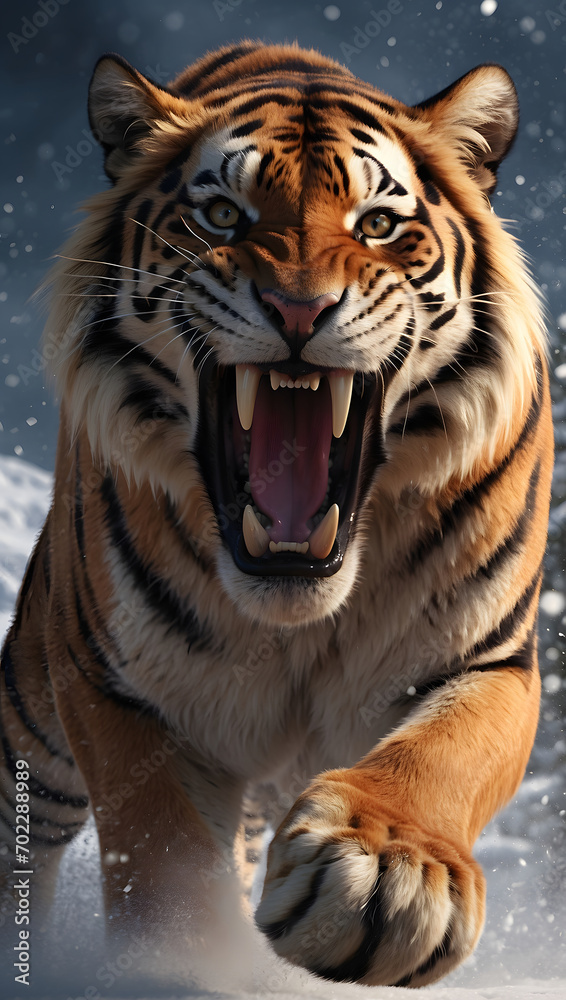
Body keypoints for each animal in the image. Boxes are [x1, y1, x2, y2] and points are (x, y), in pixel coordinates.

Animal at [0, 40, 553, 989]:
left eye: (378, 224)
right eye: (223, 215)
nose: (299, 308)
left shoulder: (489, 660)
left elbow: (440, 759)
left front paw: (385, 879)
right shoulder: (117, 689)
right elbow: (161, 852)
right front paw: (182, 966)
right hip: (35, 716)